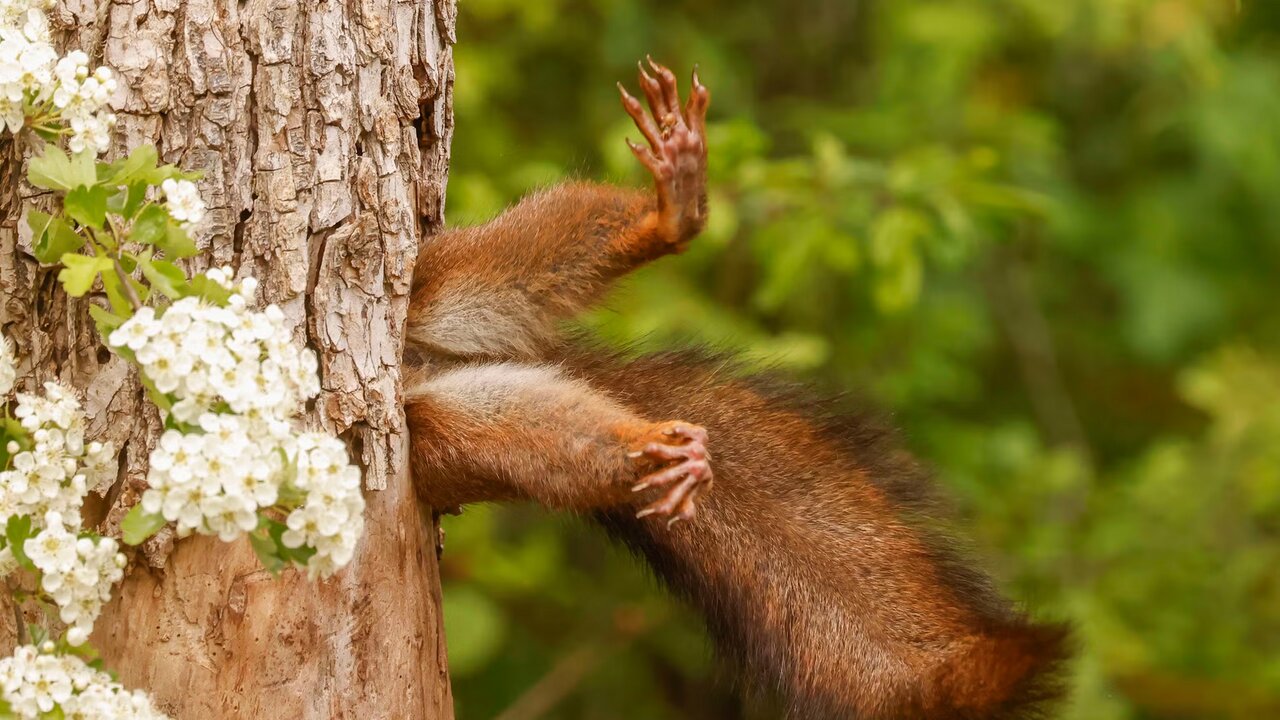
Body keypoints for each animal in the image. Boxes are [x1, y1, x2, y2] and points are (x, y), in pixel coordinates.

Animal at [407, 58, 1070, 712]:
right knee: (539, 439)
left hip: (438, 281)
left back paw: (672, 212)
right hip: (444, 436)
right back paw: (656, 453)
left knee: (521, 257)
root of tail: (425, 366)